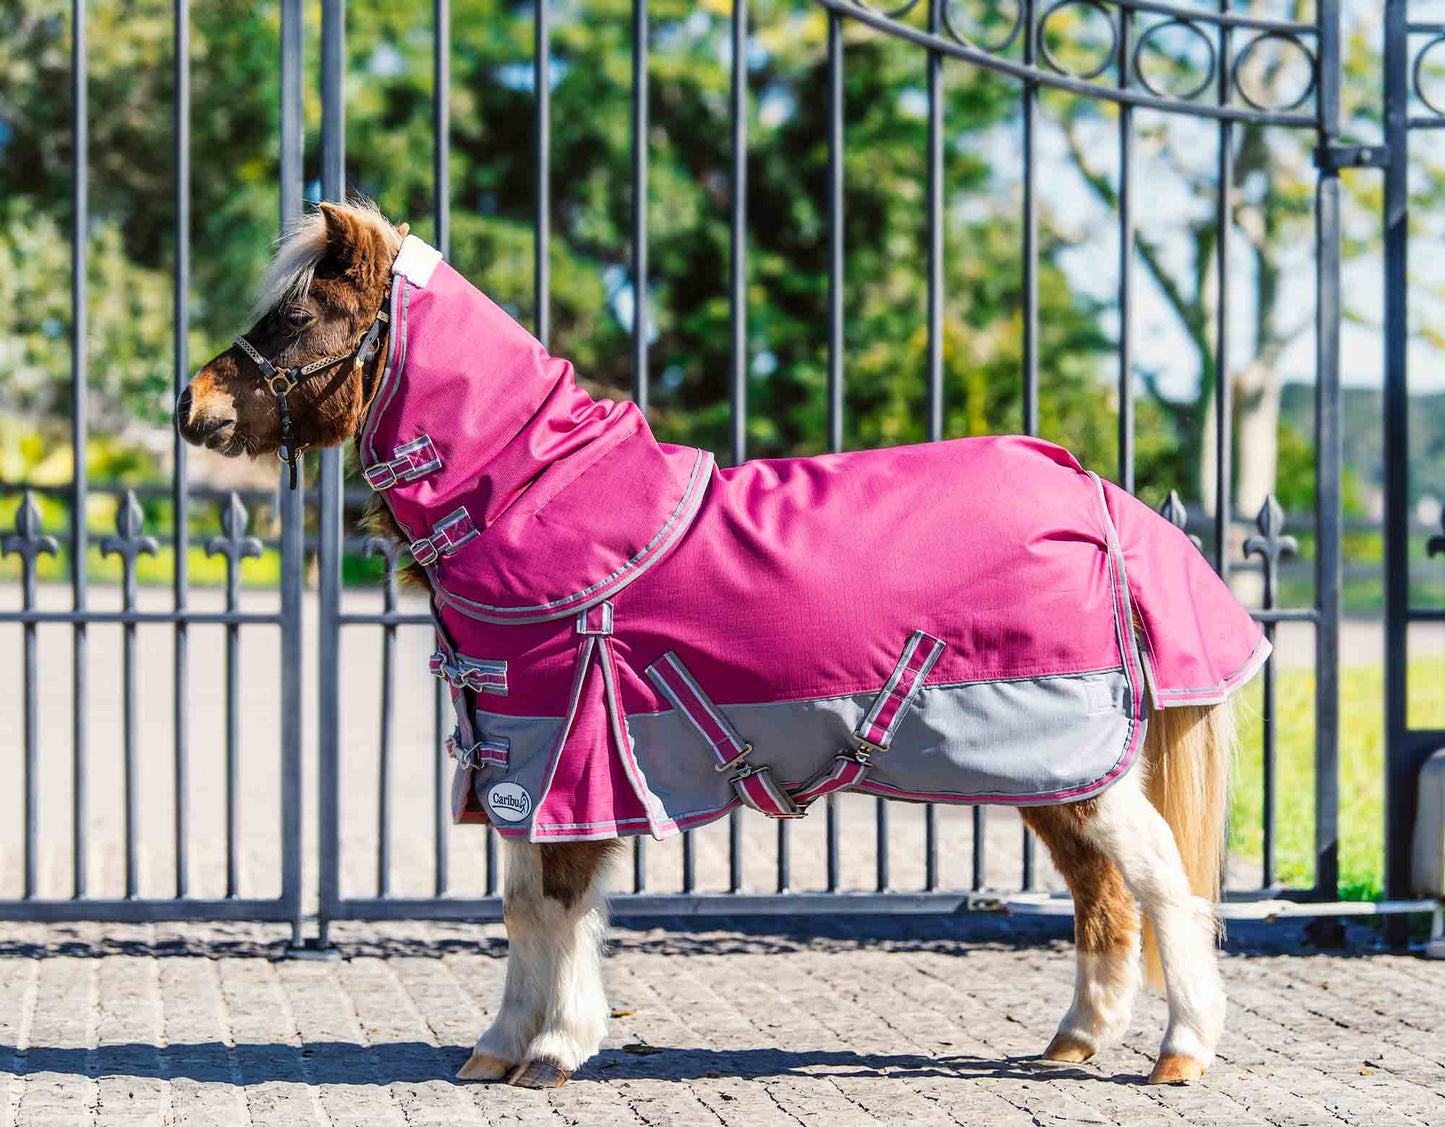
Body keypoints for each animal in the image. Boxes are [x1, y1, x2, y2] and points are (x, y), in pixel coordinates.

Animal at [178, 198, 1264, 1089]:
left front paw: (555, 1049)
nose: (193, 407)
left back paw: (1180, 1051)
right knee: (1100, 894)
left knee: (1162, 880)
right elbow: (524, 906)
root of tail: (1094, 494)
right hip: (1045, 770)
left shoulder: (569, 753)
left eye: (296, 318)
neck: (537, 498)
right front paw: (495, 1048)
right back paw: (1074, 1040)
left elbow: (562, 905)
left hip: (1074, 760)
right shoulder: (517, 751)